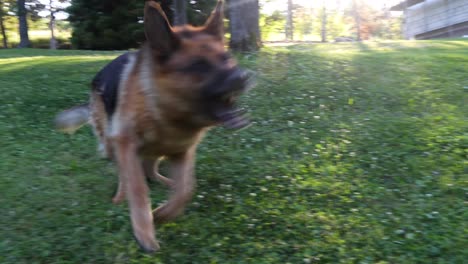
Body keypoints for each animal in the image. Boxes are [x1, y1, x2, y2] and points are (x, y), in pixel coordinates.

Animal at [55, 0, 252, 252]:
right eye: (198, 66)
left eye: (226, 58)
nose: (245, 77)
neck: (164, 109)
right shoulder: (127, 146)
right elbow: (138, 189)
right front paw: (145, 233)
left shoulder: (182, 151)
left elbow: (185, 189)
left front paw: (162, 214)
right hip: (112, 144)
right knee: (125, 175)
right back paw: (121, 196)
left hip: (153, 151)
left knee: (150, 168)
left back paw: (164, 182)